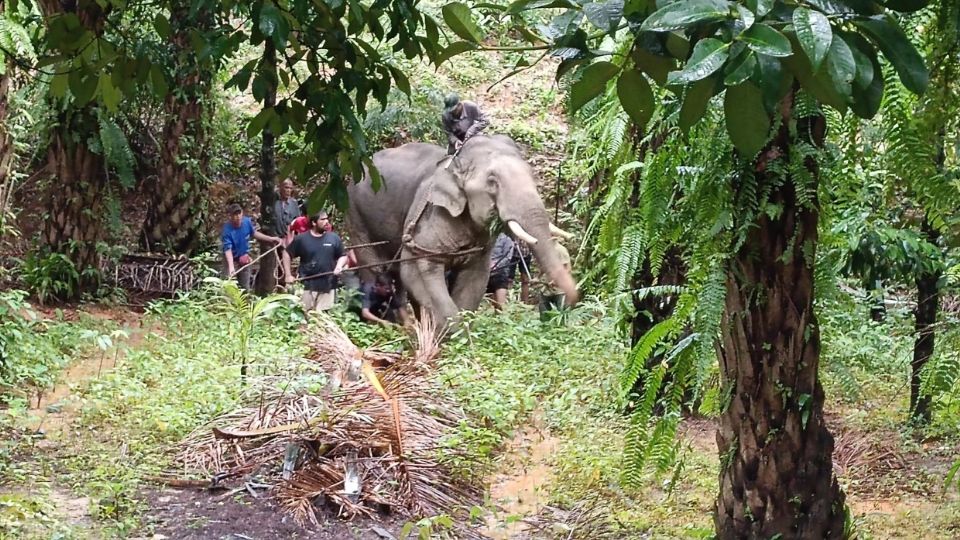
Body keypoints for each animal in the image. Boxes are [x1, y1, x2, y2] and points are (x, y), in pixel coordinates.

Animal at [344, 136, 576, 330]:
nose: (574, 296)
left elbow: (474, 280)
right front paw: (450, 335)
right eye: (492, 182)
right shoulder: (426, 218)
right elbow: (418, 269)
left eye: (532, 175)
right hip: (355, 213)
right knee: (375, 269)